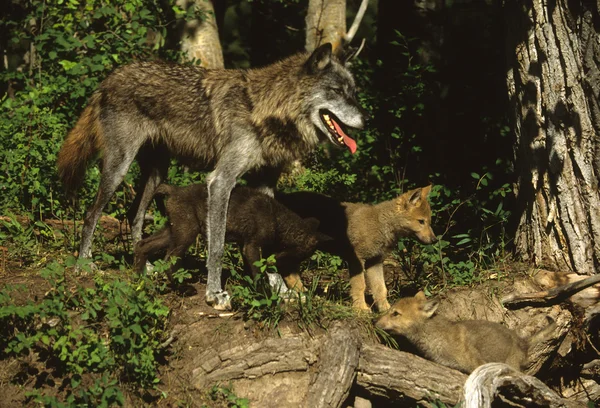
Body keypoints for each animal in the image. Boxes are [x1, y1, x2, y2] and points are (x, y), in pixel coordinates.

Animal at [132, 183, 332, 288]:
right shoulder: (252, 245)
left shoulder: (244, 245)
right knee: (169, 257)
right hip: (186, 231)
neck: (279, 223)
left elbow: (250, 270)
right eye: (299, 256)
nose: (297, 281)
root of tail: (173, 190)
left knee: (143, 245)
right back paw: (181, 285)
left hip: (173, 228)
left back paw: (139, 277)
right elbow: (259, 274)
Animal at [276, 186, 436, 310]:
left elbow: (380, 288)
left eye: (429, 221)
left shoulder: (375, 261)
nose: (434, 240)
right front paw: (361, 308)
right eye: (421, 221)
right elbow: (360, 285)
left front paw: (386, 310)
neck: (381, 224)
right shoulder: (356, 258)